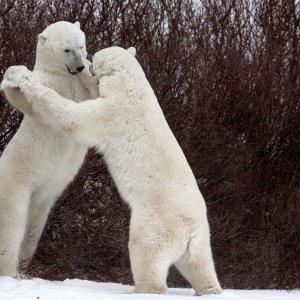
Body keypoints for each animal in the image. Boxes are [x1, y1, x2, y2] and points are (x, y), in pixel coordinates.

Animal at [0, 20, 98, 276]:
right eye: (66, 49)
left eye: (81, 45)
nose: (80, 66)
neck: (64, 75)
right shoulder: (50, 83)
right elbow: (27, 98)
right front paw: (17, 75)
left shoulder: (79, 89)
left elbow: (96, 97)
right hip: (16, 181)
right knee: (11, 222)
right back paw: (9, 269)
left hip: (44, 197)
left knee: (33, 229)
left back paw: (24, 266)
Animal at [2, 47, 221, 296]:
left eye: (96, 58)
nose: (87, 64)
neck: (132, 88)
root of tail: (190, 233)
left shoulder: (114, 114)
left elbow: (75, 117)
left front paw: (26, 81)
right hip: (202, 239)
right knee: (200, 265)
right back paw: (210, 289)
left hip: (155, 223)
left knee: (146, 252)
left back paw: (143, 289)